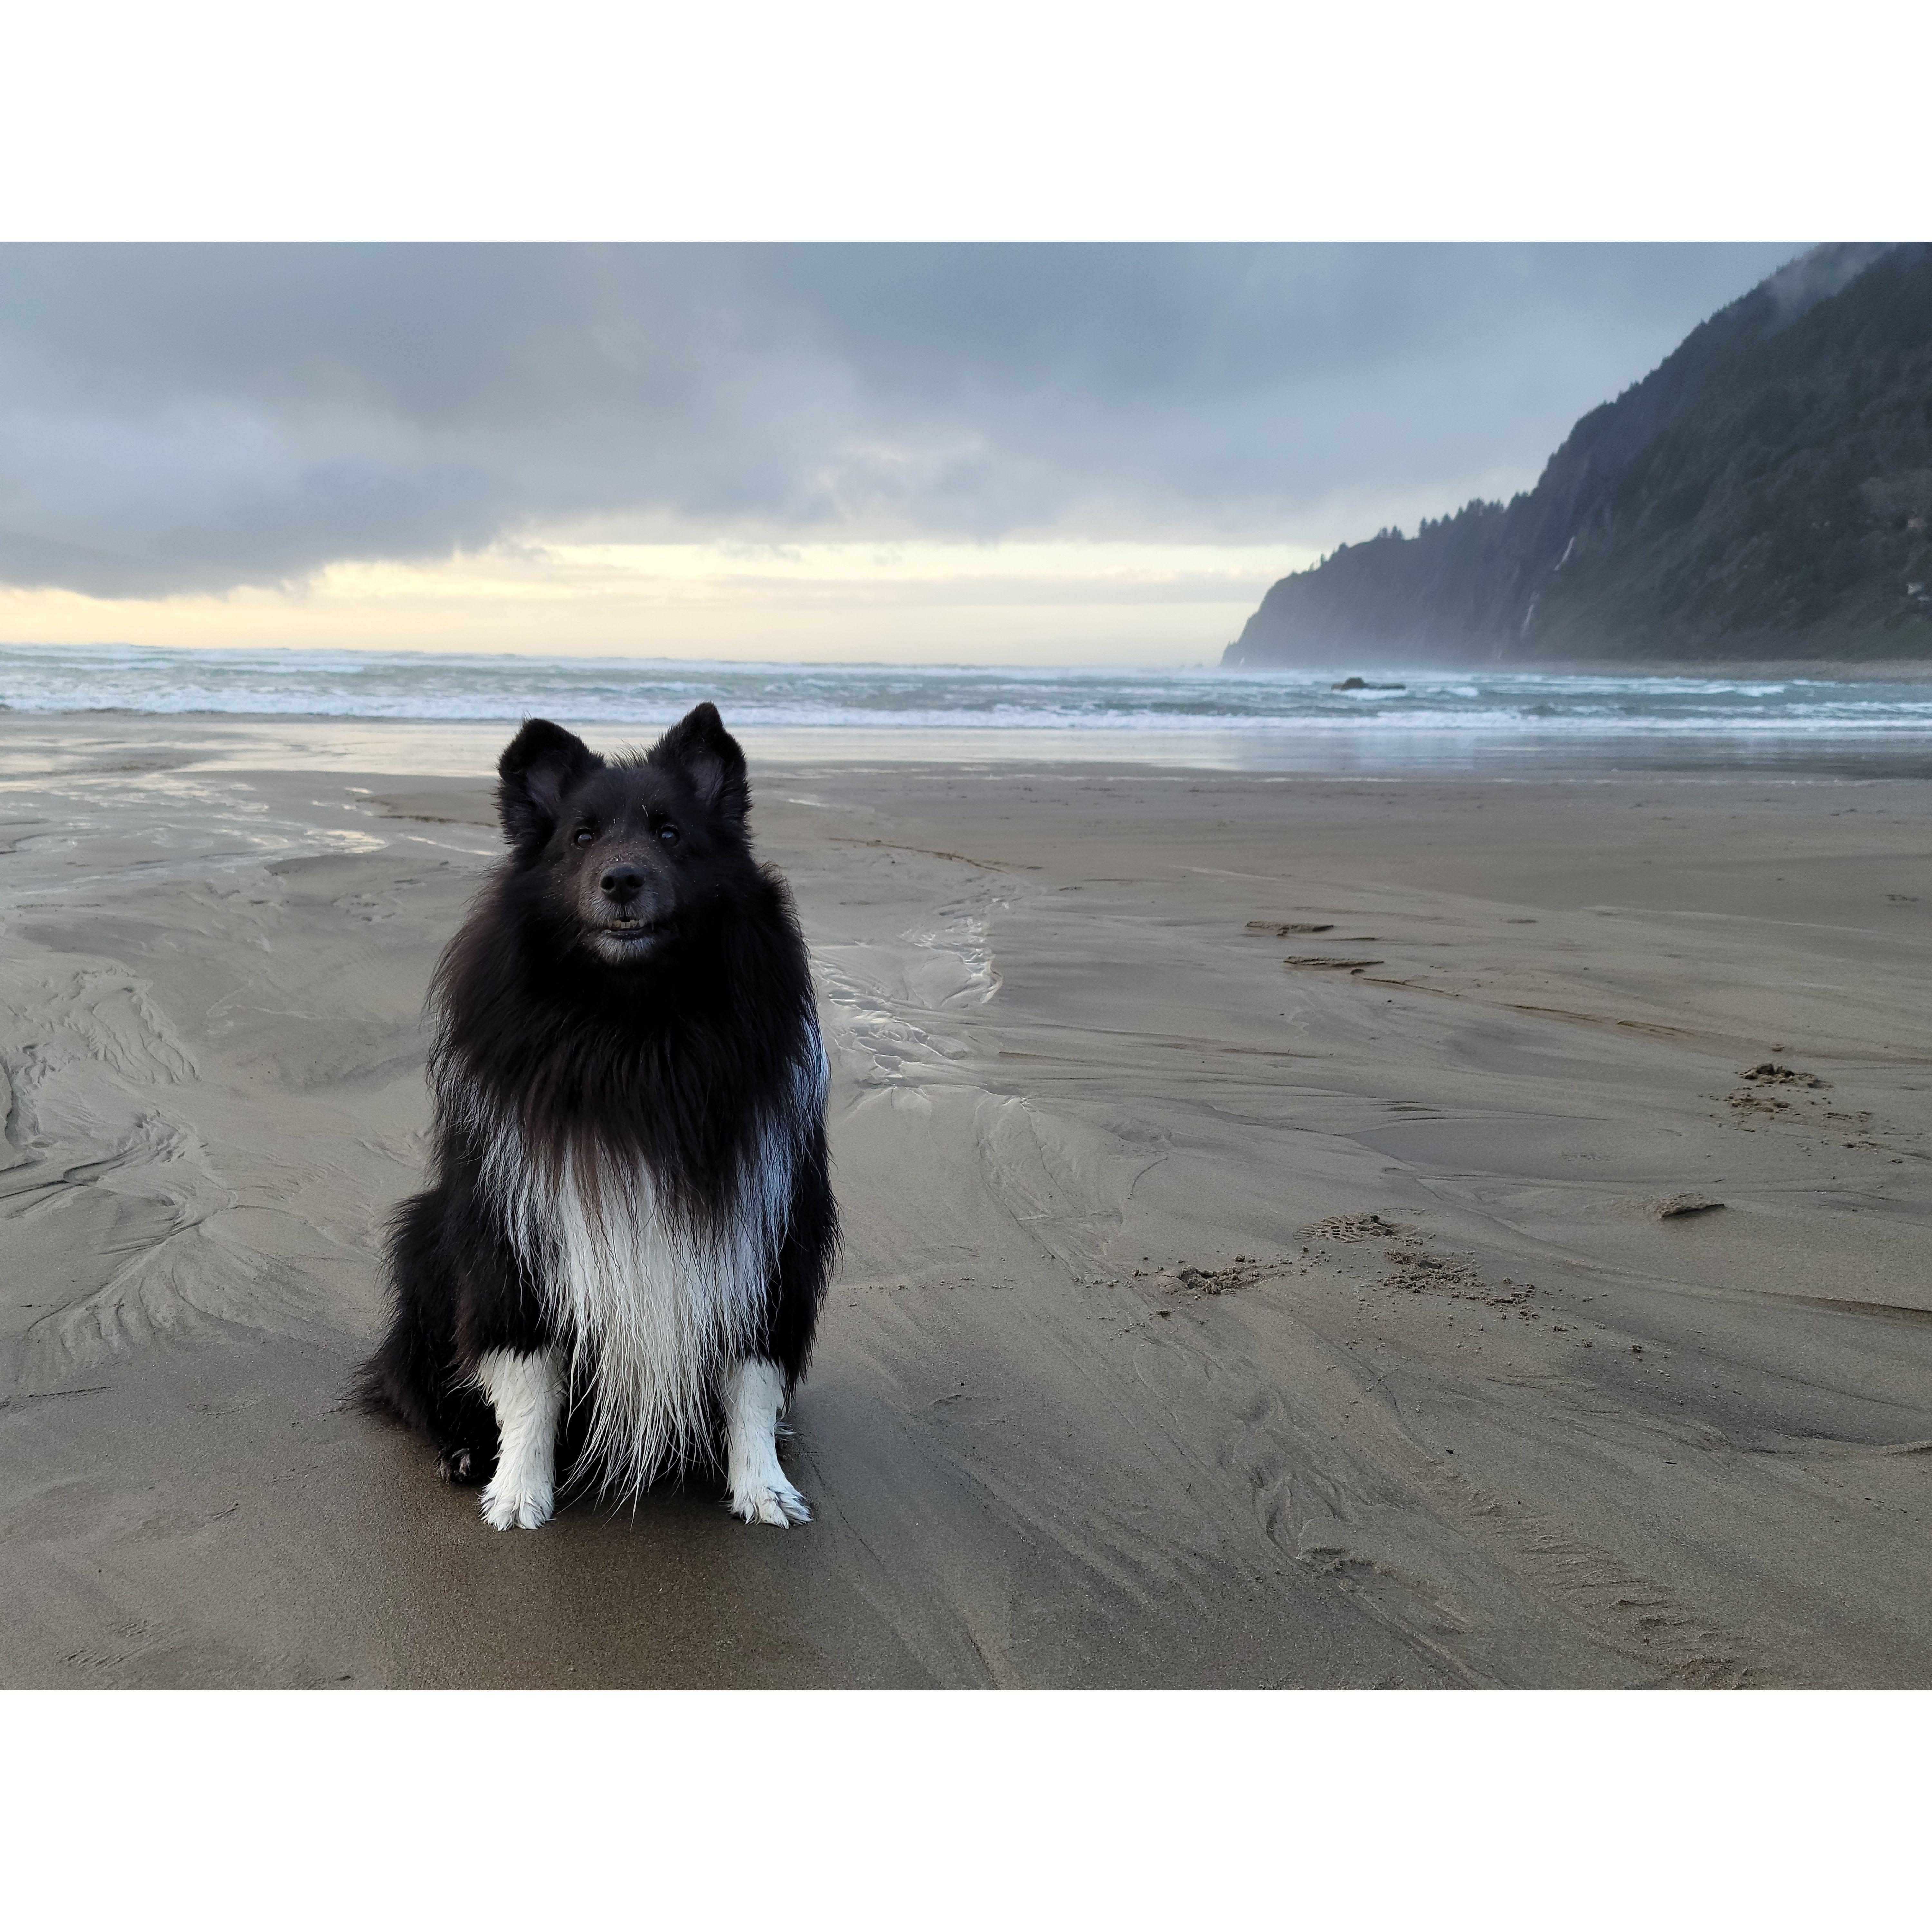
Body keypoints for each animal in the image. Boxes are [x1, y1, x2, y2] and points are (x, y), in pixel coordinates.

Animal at [357, 703, 838, 1530]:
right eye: (581, 837)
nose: (622, 880)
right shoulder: (517, 1248)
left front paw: (762, 1484)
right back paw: (464, 1452)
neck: (634, 1028)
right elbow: (528, 1381)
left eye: (671, 832)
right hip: (424, 1244)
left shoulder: (766, 1239)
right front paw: (520, 1491)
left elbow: (752, 1375)